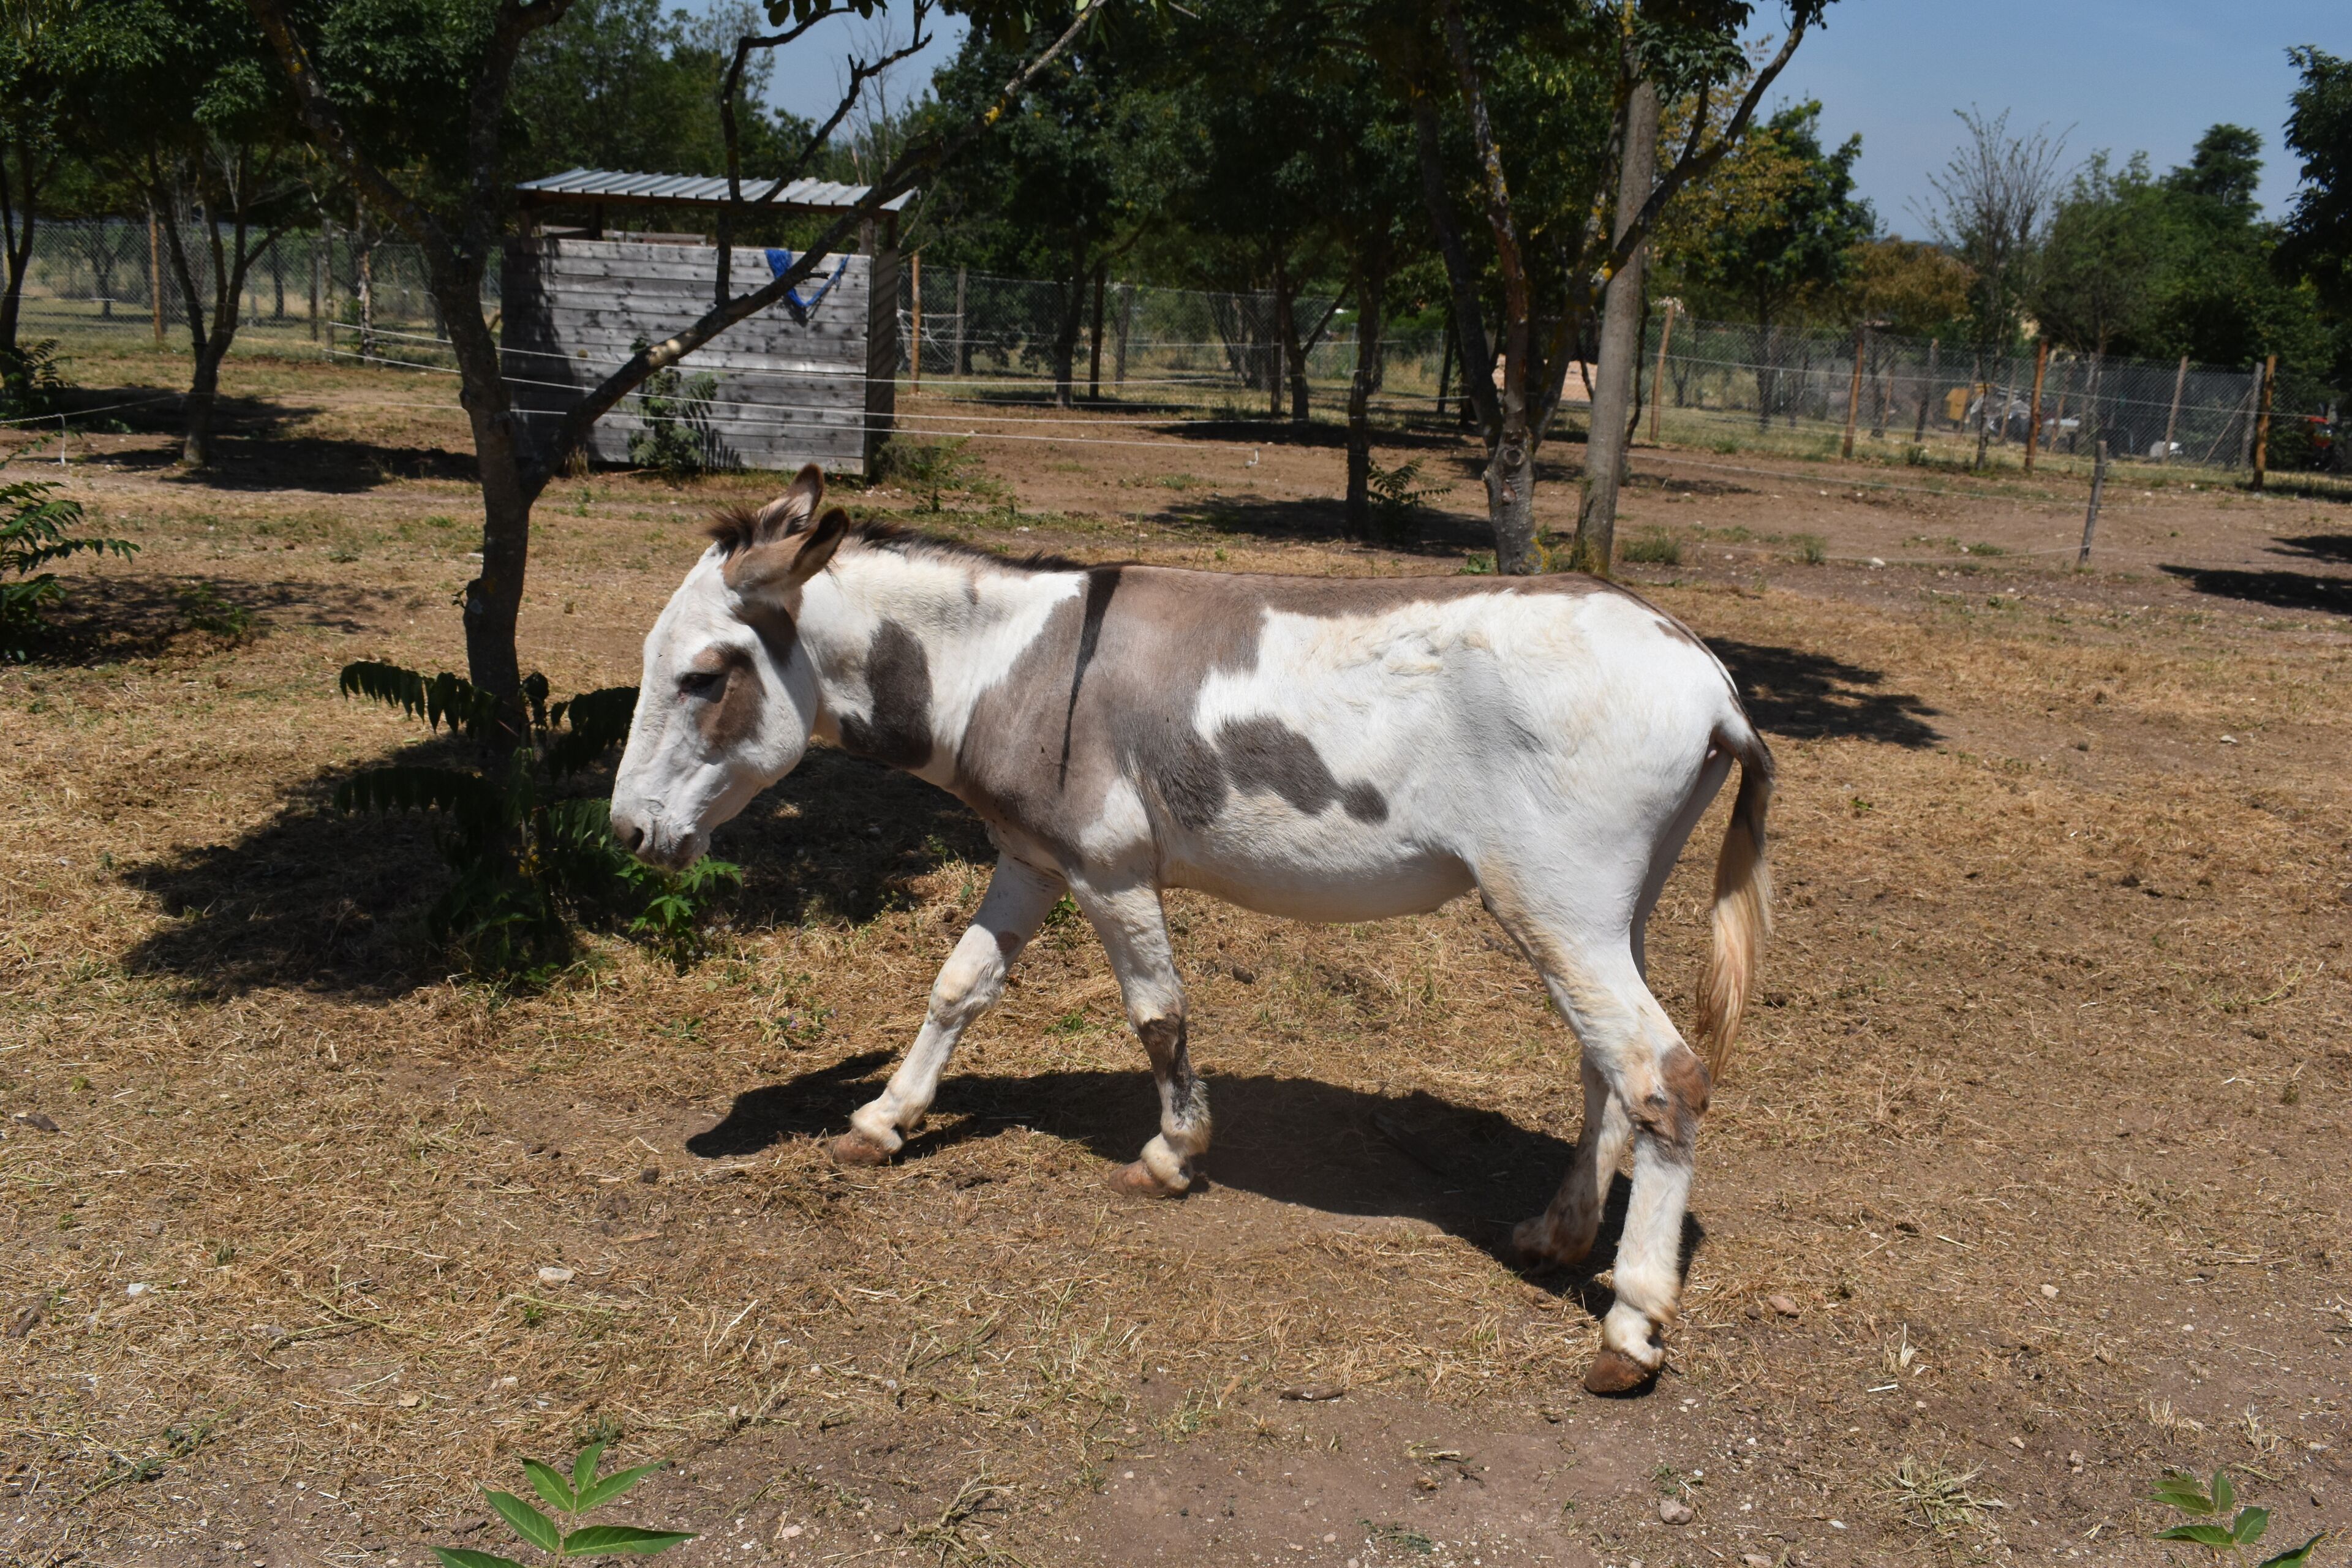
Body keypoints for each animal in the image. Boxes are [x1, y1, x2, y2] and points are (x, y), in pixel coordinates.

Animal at [609, 465, 1773, 1395]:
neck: (1004, 669)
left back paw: (1630, 1329)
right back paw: (1559, 1235)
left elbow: (1157, 1015)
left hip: (1559, 902)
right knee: (1607, 1068)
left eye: (703, 678)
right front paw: (883, 1121)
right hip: (1602, 910)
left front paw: (1171, 1155)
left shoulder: (1109, 867)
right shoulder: (1030, 860)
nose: (627, 834)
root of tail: (1710, 677)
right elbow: (958, 988)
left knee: (1666, 1076)